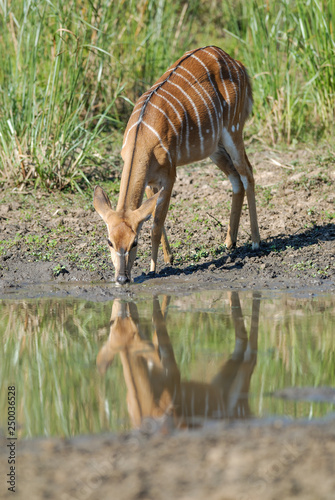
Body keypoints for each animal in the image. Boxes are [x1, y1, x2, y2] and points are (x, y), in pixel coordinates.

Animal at [93, 47, 262, 286]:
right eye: (109, 241)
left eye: (135, 242)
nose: (122, 278)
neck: (142, 138)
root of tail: (237, 62)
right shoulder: (150, 180)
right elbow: (154, 217)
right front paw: (168, 258)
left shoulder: (170, 175)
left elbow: (156, 223)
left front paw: (153, 268)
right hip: (214, 147)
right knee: (236, 179)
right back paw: (230, 242)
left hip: (234, 131)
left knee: (248, 174)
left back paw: (256, 242)